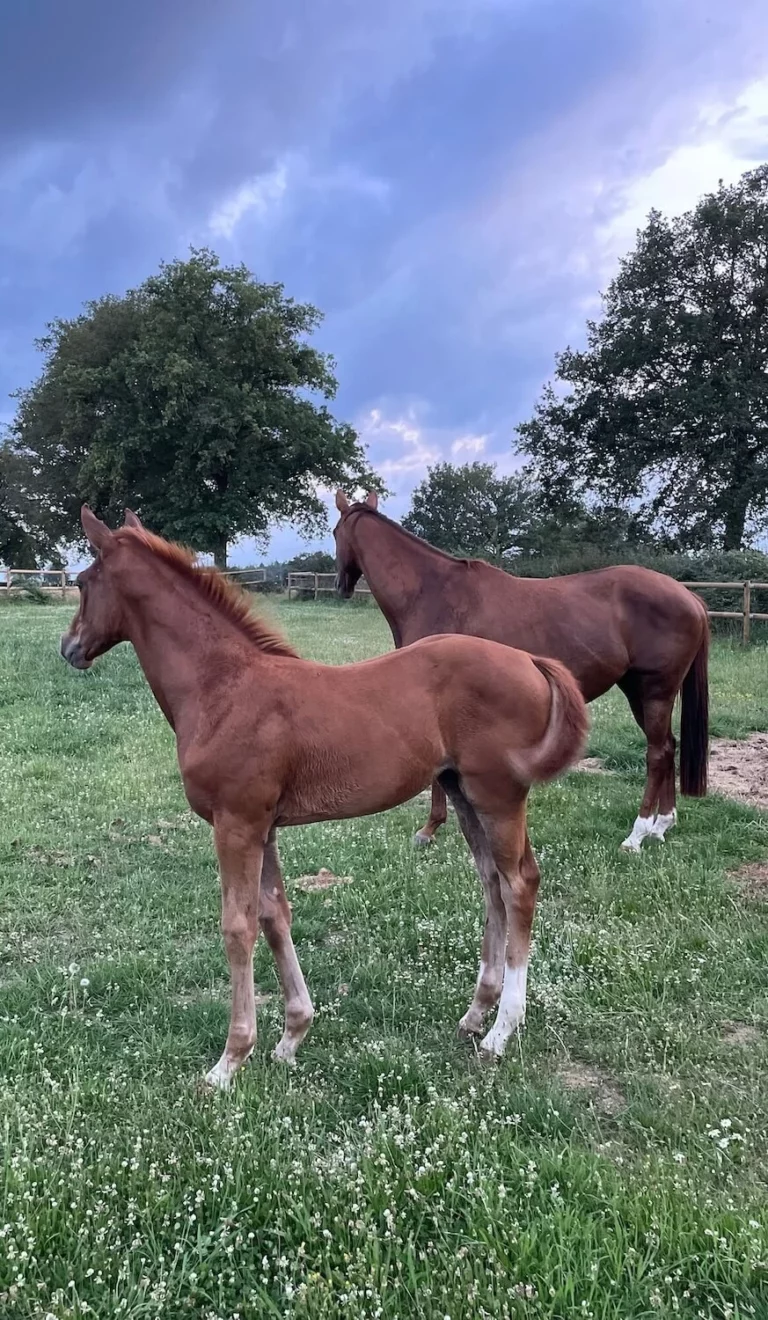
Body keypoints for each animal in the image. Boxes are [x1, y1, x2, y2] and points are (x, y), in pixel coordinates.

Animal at [60, 506, 588, 1087]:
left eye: (82, 582)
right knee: (491, 881)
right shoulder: (262, 825)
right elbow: (275, 916)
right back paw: (475, 1014)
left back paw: (500, 1031)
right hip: (463, 792)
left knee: (519, 884)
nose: (70, 648)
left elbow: (238, 926)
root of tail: (529, 660)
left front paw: (229, 1060)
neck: (223, 687)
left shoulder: (236, 822)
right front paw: (291, 1036)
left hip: (498, 795)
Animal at [333, 490, 710, 853]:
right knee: (668, 747)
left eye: (335, 533)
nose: (341, 586)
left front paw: (429, 830)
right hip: (639, 692)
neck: (432, 592)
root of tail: (689, 597)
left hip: (654, 691)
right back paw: (661, 826)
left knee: (656, 754)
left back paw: (637, 835)